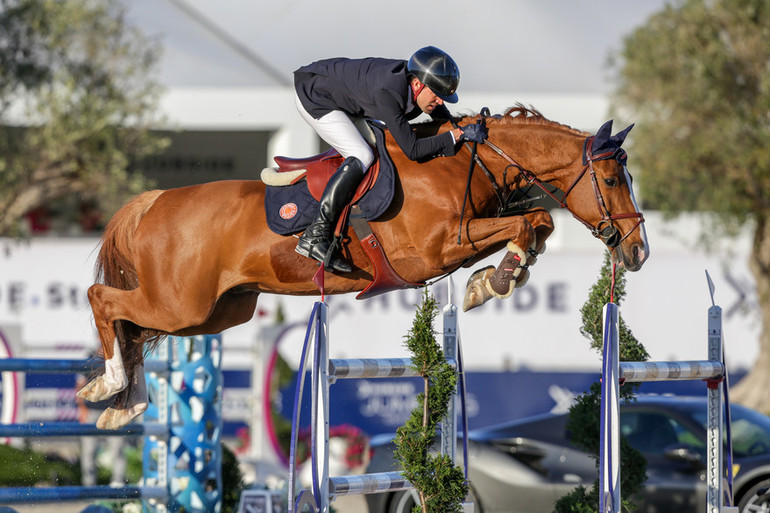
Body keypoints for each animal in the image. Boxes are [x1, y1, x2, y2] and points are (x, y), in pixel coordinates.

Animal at [78, 107, 644, 428]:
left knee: (133, 327)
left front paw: (491, 280)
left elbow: (535, 222)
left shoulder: (461, 237)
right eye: (612, 179)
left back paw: (124, 402)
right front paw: (495, 281)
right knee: (102, 300)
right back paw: (108, 386)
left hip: (214, 312)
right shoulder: (435, 249)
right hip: (180, 303)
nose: (638, 251)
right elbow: (524, 224)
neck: (460, 163)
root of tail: (153, 203)